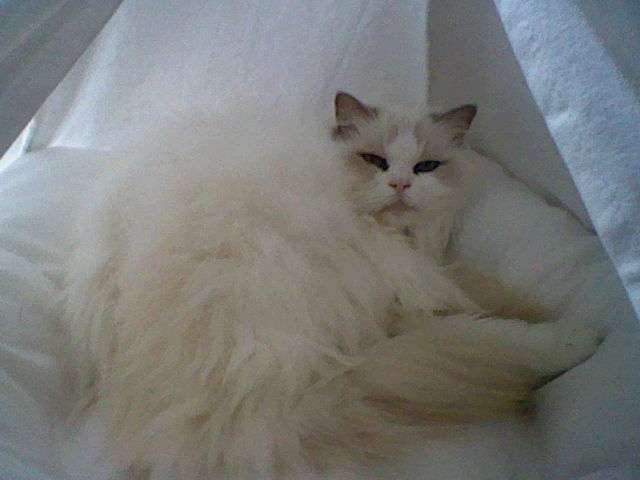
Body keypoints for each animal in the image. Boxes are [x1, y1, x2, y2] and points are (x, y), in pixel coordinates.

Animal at [61, 92, 600, 478]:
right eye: (376, 162)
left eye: (426, 167)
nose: (401, 185)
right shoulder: (409, 286)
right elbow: (485, 306)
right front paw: (560, 320)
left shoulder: (430, 270)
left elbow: (486, 288)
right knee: (503, 343)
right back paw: (581, 337)